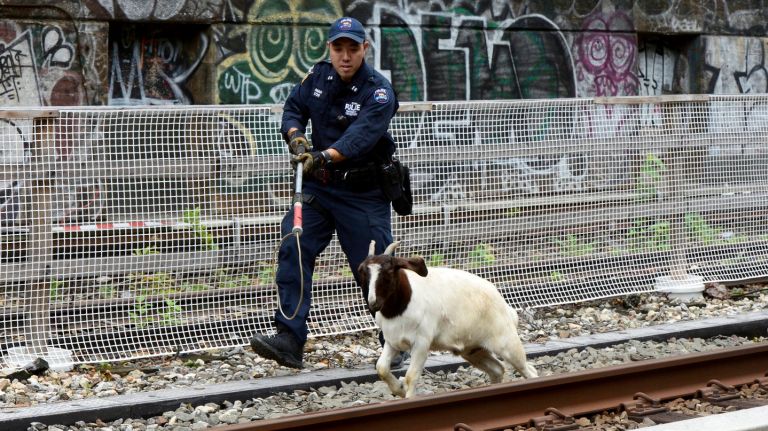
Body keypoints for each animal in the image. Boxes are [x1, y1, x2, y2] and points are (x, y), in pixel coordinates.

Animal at [358, 240, 538, 398]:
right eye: (363, 272)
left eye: (388, 272)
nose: (373, 303)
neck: (402, 306)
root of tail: (507, 308)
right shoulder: (392, 341)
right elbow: (381, 368)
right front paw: (399, 390)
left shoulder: (421, 344)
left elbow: (411, 376)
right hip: (473, 349)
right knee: (497, 369)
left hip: (507, 344)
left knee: (529, 371)